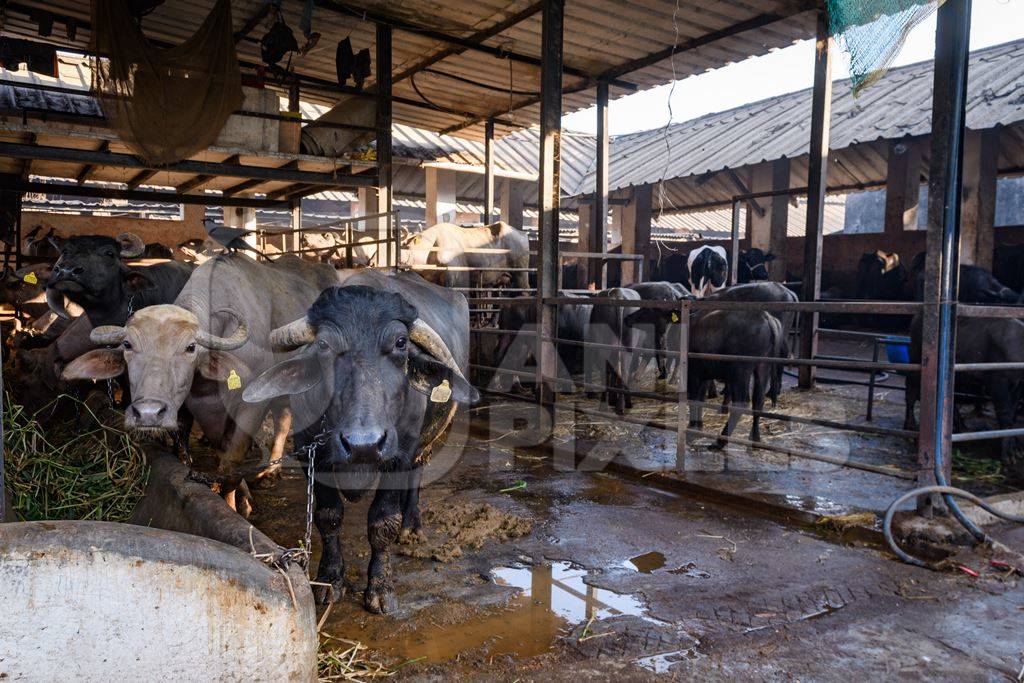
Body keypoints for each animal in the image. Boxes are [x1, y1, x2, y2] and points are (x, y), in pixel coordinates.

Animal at [242, 270, 475, 610]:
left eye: (401, 343)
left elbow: (383, 522)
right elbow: (328, 516)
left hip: (427, 443)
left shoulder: (399, 456)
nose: (364, 444)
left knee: (417, 474)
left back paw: (412, 525)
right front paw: (330, 579)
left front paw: (379, 587)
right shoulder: (311, 454)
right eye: (324, 344)